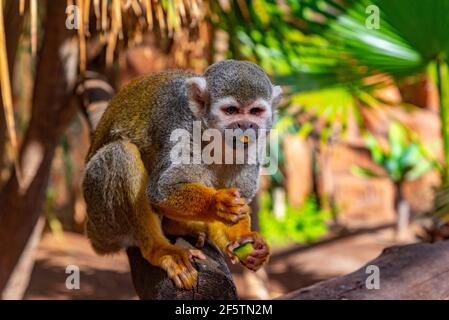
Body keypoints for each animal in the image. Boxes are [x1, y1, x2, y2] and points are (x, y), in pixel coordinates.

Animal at [81, 58, 280, 288]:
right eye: (231, 110)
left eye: (255, 111)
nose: (246, 125)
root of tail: (92, 232)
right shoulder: (183, 129)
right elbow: (161, 191)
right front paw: (218, 203)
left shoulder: (256, 145)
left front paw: (246, 240)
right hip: (102, 216)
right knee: (121, 153)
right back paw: (159, 249)